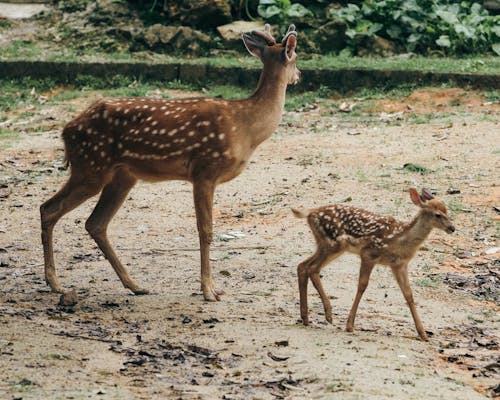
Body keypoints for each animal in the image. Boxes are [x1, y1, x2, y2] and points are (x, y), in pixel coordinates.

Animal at [41, 24, 298, 300]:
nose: (299, 76)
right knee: (49, 209)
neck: (245, 127)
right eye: (295, 57)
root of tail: (66, 130)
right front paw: (209, 290)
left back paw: (134, 285)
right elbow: (205, 230)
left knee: (95, 223)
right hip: (90, 165)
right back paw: (55, 283)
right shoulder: (204, 170)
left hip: (121, 175)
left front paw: (210, 287)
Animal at [294, 188, 456, 340]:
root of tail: (311, 212)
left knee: (304, 266)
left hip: (327, 245)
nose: (452, 228)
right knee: (312, 268)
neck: (400, 239)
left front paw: (423, 334)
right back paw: (327, 314)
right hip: (332, 244)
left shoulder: (399, 264)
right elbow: (362, 285)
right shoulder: (368, 253)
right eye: (437, 214)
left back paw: (306, 317)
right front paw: (350, 325)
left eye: (447, 210)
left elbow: (408, 294)